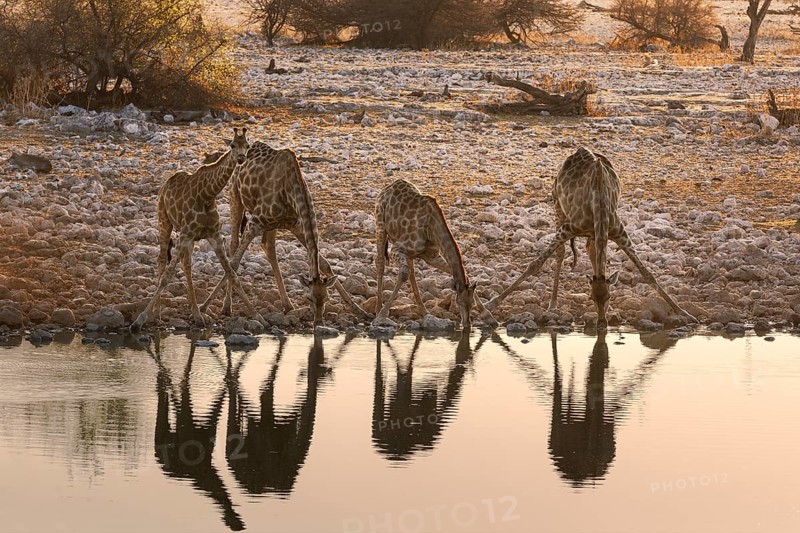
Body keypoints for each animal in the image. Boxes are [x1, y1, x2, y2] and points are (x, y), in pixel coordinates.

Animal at [131, 128, 264, 331]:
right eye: (233, 145)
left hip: (188, 238)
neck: (207, 194)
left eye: (247, 145)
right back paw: (158, 312)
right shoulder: (186, 233)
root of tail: (166, 183)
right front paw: (139, 320)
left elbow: (232, 274)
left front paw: (258, 316)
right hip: (165, 221)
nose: (241, 158)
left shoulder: (214, 235)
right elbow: (167, 276)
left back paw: (196, 315)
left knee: (186, 265)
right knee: (162, 260)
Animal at [199, 141, 370, 327]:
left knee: (268, 247)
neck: (291, 190)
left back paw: (287, 305)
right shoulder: (255, 222)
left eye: (326, 299)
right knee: (234, 246)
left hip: (271, 224)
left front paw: (360, 311)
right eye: (309, 298)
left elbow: (325, 264)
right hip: (236, 197)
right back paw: (227, 306)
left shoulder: (295, 224)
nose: (318, 322)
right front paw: (203, 307)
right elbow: (235, 263)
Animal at [374, 179, 497, 328]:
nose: (467, 324)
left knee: (411, 272)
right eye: (459, 302)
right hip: (380, 226)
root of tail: (389, 187)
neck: (431, 228)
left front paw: (488, 316)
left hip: (409, 253)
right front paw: (382, 315)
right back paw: (378, 308)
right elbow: (403, 274)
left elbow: (457, 272)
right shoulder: (397, 248)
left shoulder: (431, 256)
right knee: (381, 263)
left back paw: (424, 311)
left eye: (472, 303)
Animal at [485, 147, 696, 329]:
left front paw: (684, 313)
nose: (602, 323)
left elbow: (647, 274)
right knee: (561, 253)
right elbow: (535, 264)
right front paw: (490, 305)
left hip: (591, 231)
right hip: (558, 208)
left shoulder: (618, 232)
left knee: (591, 250)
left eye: (609, 297)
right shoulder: (569, 228)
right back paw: (552, 304)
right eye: (591, 298)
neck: (599, 202)